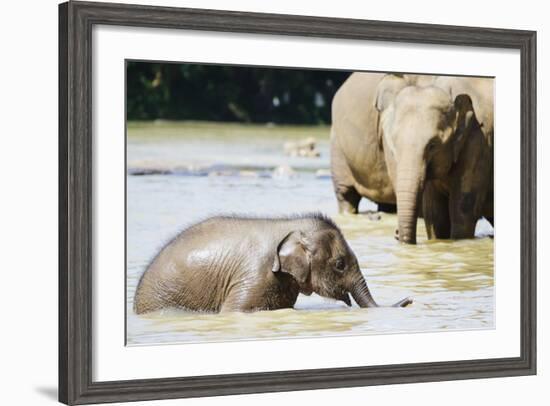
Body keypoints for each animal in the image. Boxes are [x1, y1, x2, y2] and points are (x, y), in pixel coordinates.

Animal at [332, 72, 496, 244]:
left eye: (432, 145)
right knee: (346, 194)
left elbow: (463, 211)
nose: (396, 233)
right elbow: (435, 216)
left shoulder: (478, 142)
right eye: (393, 144)